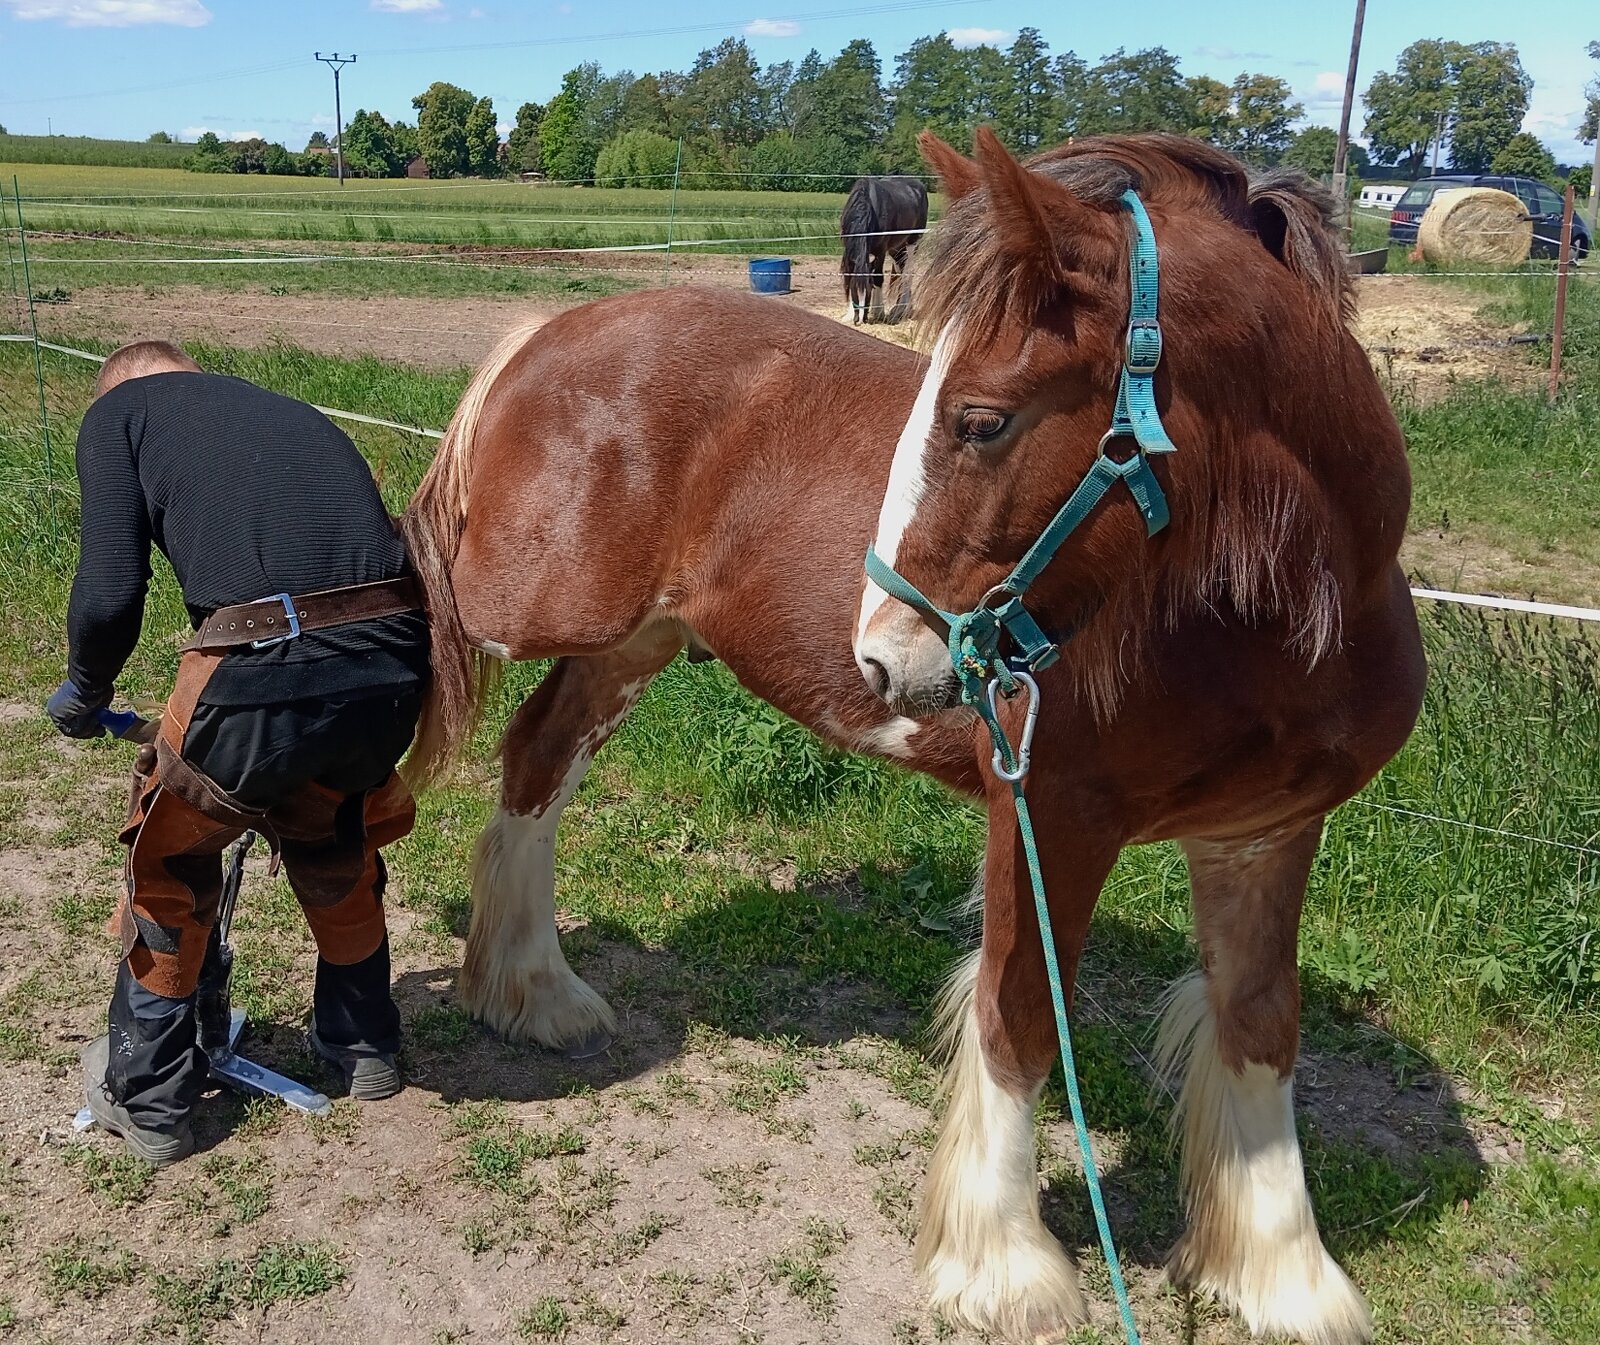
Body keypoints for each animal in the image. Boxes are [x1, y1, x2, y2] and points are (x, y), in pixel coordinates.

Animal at [840, 173, 929, 324]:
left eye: (868, 290)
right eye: (854, 291)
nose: (860, 319)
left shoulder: (880, 251)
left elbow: (878, 278)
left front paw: (878, 312)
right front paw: (849, 315)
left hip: (912, 242)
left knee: (907, 274)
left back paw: (900, 310)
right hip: (897, 248)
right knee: (901, 270)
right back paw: (903, 309)